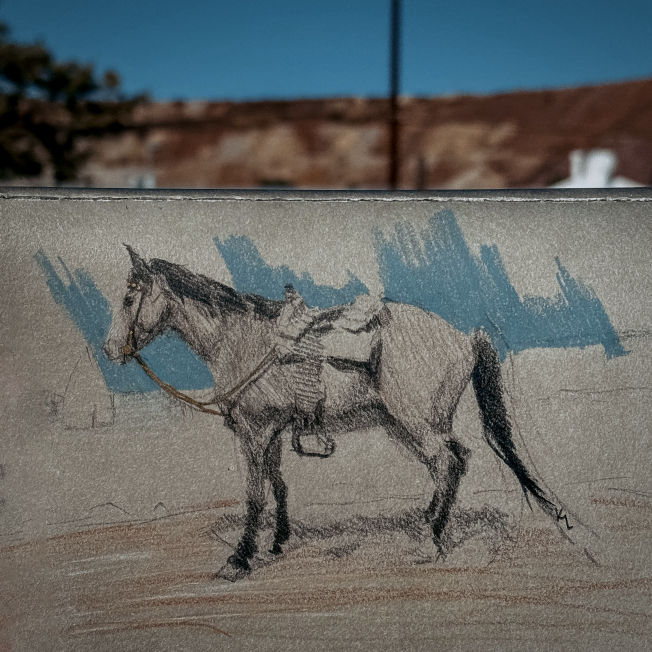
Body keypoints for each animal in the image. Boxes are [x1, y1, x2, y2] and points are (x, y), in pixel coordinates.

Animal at [104, 246, 564, 580]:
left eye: (129, 298)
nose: (110, 350)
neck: (240, 340)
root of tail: (465, 337)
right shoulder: (272, 431)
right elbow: (278, 484)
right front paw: (279, 542)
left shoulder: (253, 431)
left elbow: (254, 494)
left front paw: (239, 559)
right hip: (411, 425)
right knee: (453, 461)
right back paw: (427, 524)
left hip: (417, 423)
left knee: (447, 463)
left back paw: (430, 540)